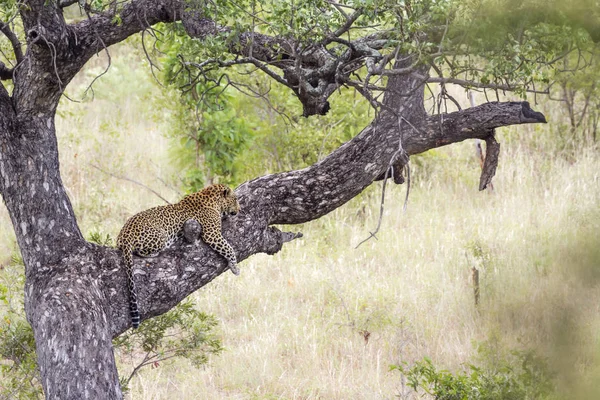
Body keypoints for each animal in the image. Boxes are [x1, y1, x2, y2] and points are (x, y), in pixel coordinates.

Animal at [116, 184, 240, 328]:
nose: (239, 210)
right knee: (140, 251)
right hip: (161, 235)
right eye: (235, 199)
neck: (213, 200)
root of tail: (124, 234)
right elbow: (228, 248)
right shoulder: (212, 234)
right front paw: (235, 267)